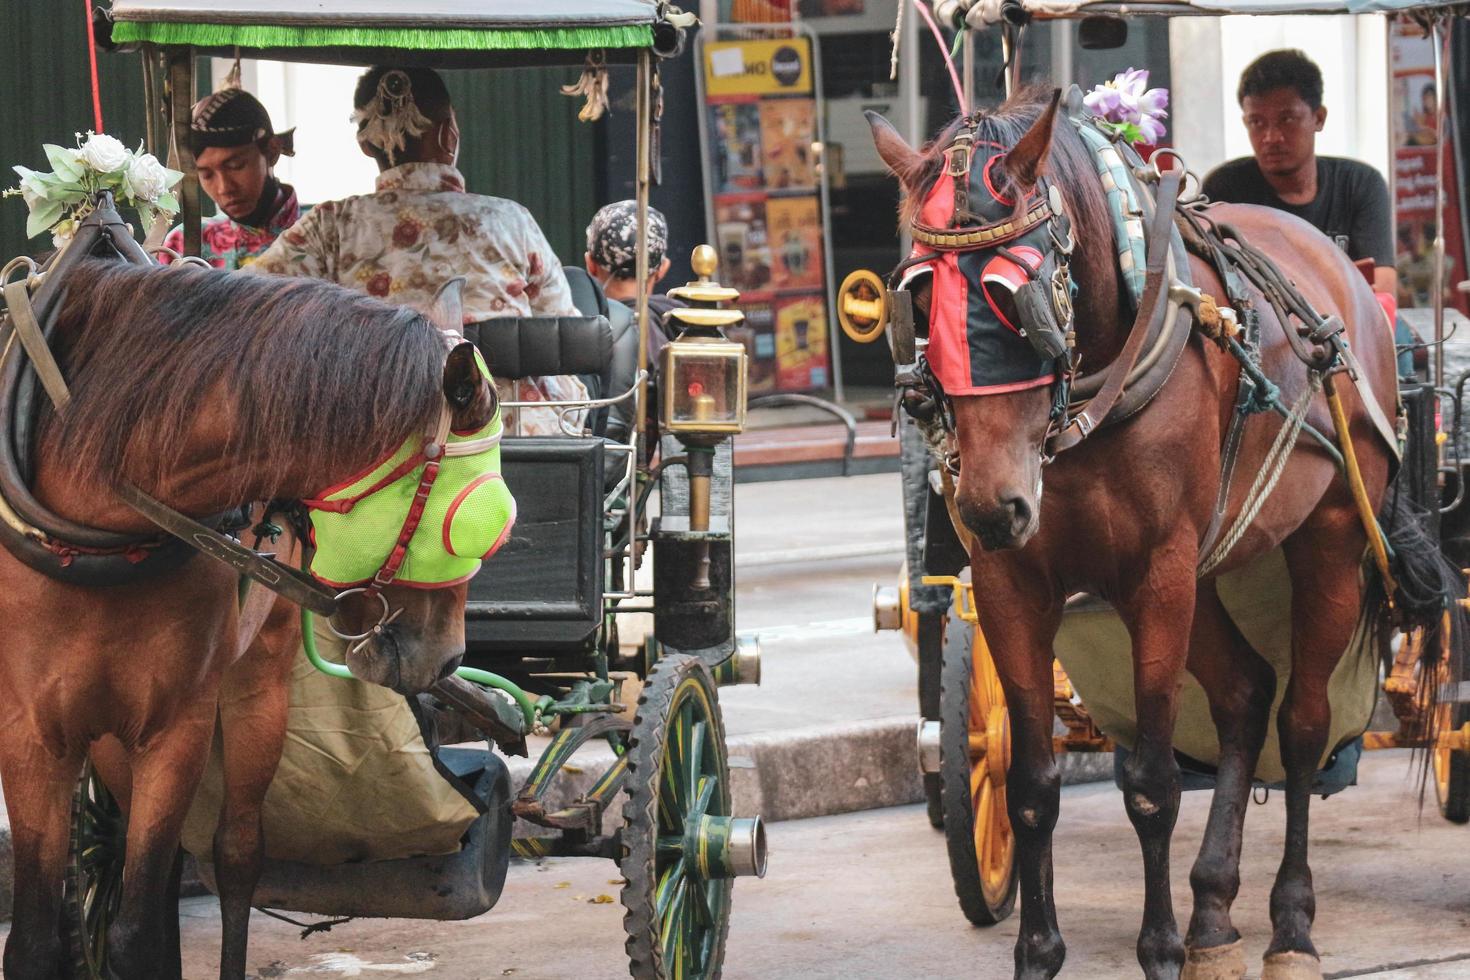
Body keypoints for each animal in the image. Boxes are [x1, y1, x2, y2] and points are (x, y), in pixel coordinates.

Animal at [0, 260, 493, 980]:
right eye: (471, 522)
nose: (449, 655)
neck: (96, 525)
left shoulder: (176, 726)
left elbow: (138, 933)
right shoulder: (30, 733)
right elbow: (36, 942)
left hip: (258, 685)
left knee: (235, 855)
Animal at [870, 86, 1458, 980]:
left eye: (1013, 293)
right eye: (917, 298)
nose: (988, 506)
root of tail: (1345, 278)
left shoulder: (1157, 575)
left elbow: (1151, 783)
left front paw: (1159, 950)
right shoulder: (1012, 584)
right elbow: (1030, 786)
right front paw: (1040, 953)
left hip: (1321, 542)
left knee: (1303, 722)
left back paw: (1290, 927)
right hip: (1212, 565)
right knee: (1247, 692)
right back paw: (1213, 913)